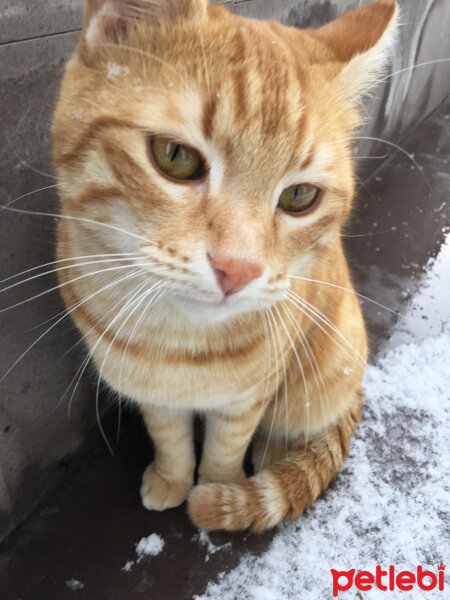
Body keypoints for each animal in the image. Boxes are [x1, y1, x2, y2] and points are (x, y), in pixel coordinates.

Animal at [51, 0, 398, 532]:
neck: (179, 341)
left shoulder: (248, 397)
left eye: (300, 196)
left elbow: (225, 446)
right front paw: (172, 478)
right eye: (175, 157)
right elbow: (169, 436)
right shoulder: (150, 389)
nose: (238, 269)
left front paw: (217, 489)